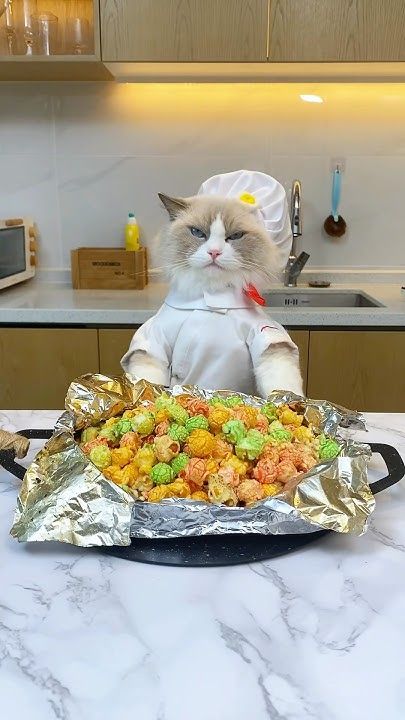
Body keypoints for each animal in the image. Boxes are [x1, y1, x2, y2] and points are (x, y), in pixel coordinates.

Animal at [120, 193, 304, 400]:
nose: (214, 252)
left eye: (236, 236)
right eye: (197, 232)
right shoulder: (152, 342)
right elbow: (146, 380)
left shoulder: (268, 338)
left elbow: (283, 384)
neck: (211, 301)